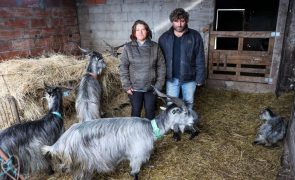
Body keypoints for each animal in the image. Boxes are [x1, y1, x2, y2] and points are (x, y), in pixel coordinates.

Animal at [41, 87, 198, 179]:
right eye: (185, 112)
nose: (195, 119)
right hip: (82, 163)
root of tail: (60, 143)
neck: (150, 128)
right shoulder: (136, 156)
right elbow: (135, 174)